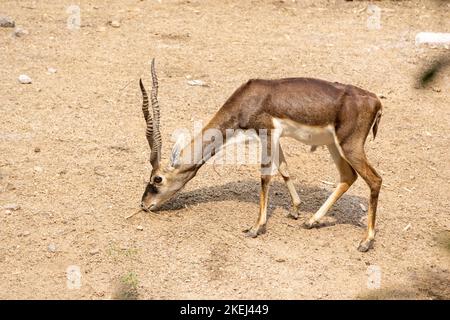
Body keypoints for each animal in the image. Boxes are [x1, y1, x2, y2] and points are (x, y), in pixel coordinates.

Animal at [138, 58, 384, 251]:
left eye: (157, 179)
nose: (144, 204)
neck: (249, 99)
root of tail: (375, 101)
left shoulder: (267, 133)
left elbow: (265, 177)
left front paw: (256, 228)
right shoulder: (275, 138)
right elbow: (284, 169)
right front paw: (296, 209)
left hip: (349, 146)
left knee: (375, 179)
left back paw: (366, 241)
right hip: (334, 145)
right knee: (348, 176)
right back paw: (312, 221)